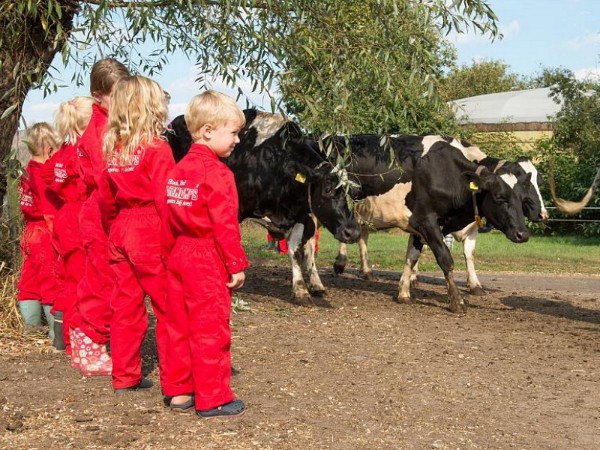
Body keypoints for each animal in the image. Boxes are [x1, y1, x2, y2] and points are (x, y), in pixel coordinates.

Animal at [163, 109, 360, 306]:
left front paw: (300, 290)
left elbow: (295, 251)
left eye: (347, 192)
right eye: (327, 189)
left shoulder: (299, 215)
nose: (352, 232)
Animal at [314, 134, 528, 312]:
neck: (445, 172)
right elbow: (445, 259)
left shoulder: (419, 226)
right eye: (500, 197)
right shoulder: (427, 221)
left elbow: (412, 257)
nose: (523, 234)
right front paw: (457, 301)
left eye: (521, 198)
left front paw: (403, 293)